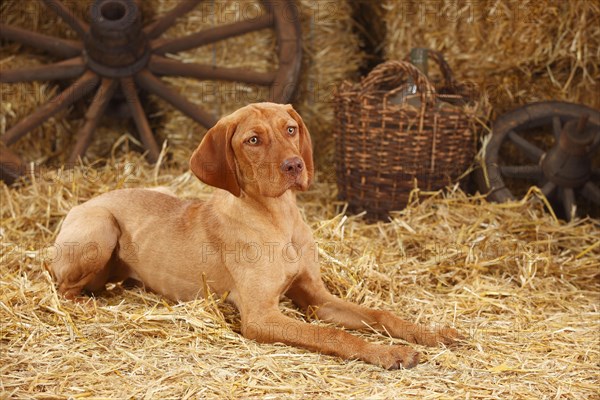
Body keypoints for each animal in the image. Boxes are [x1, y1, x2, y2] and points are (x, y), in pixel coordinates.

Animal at [51, 102, 460, 368]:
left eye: (290, 129)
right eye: (252, 140)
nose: (295, 165)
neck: (279, 221)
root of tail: (83, 202)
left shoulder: (318, 299)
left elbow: (378, 313)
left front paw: (430, 333)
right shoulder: (261, 317)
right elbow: (331, 335)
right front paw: (388, 353)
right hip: (101, 228)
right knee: (63, 289)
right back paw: (92, 303)